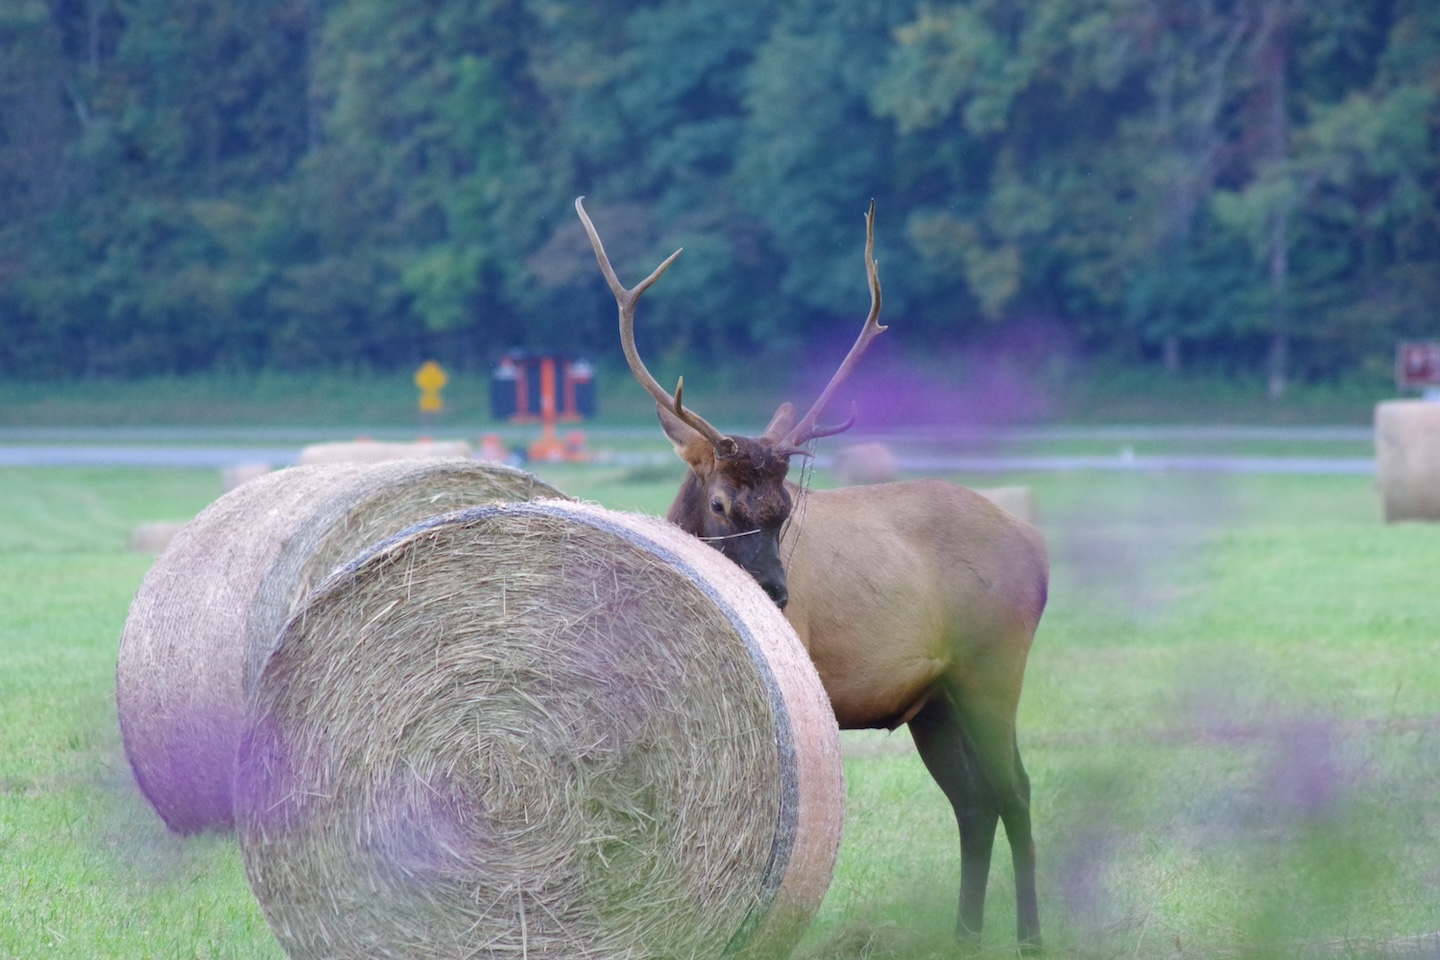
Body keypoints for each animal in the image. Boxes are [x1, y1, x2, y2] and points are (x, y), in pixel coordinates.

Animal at [575, 197, 1048, 953]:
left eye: (787, 506)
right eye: (719, 501)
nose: (775, 593)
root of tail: (1037, 549)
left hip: (994, 665)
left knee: (1015, 791)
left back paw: (1030, 936)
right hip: (935, 697)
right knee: (973, 803)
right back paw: (964, 935)